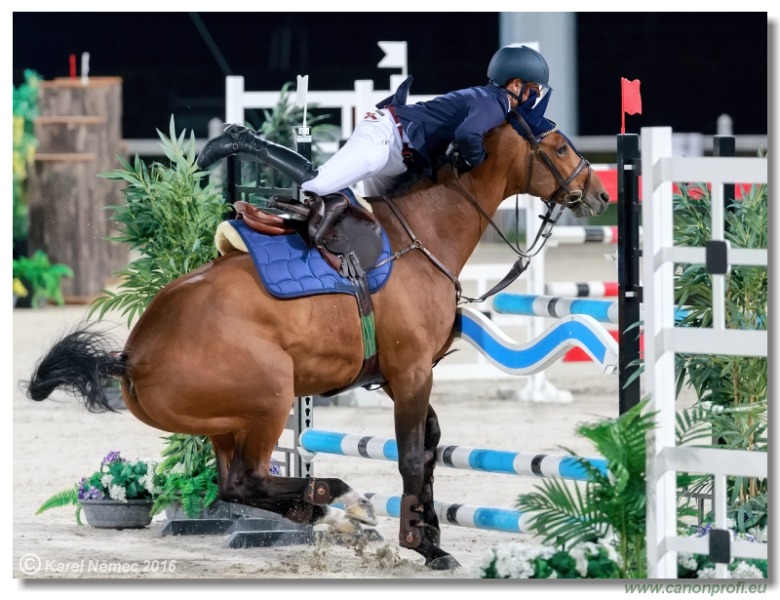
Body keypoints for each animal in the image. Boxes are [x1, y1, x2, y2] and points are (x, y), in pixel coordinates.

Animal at [25, 118, 608, 572]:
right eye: (558, 146)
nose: (600, 195)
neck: (423, 234)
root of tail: (133, 355)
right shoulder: (412, 372)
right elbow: (412, 457)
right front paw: (420, 542)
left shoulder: (400, 376)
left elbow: (430, 446)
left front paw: (431, 537)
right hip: (269, 398)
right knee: (248, 482)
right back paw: (336, 499)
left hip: (225, 423)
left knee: (233, 484)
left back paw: (327, 511)